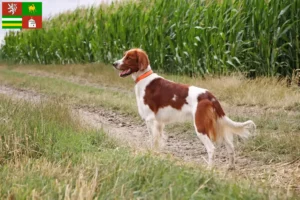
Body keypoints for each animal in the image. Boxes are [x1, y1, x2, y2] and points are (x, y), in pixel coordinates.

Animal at [112, 48, 255, 169]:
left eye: (129, 58)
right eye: (124, 55)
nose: (114, 63)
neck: (144, 78)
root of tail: (209, 96)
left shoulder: (150, 119)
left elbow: (153, 140)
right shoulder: (158, 123)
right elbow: (159, 141)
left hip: (200, 126)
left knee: (211, 148)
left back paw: (209, 169)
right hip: (218, 124)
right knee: (230, 146)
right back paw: (230, 167)